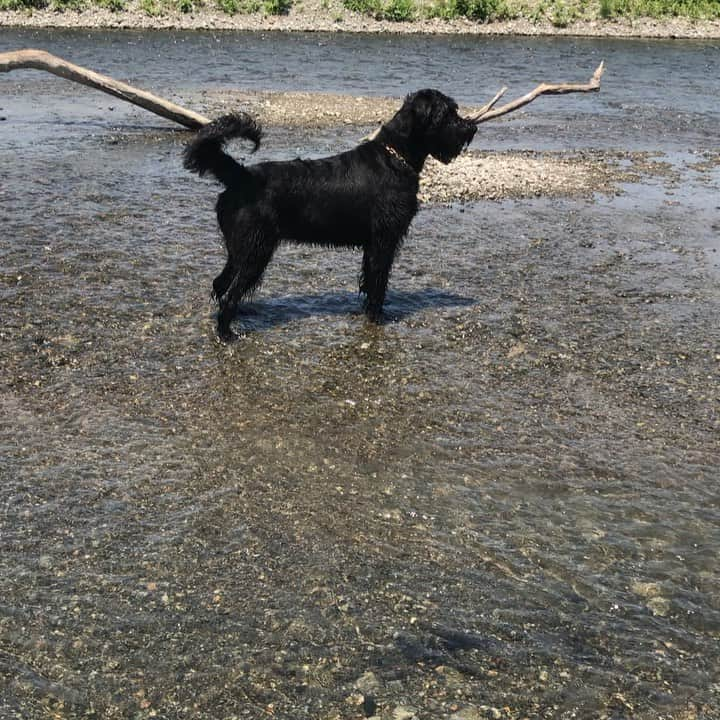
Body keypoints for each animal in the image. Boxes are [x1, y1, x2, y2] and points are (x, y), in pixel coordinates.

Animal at [184, 88, 478, 342]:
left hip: (241, 250)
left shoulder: (372, 244)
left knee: (221, 284)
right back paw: (227, 334)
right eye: (447, 113)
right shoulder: (384, 240)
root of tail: (241, 176)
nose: (471, 127)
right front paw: (377, 318)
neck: (395, 157)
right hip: (256, 252)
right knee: (230, 292)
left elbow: (369, 280)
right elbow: (379, 282)